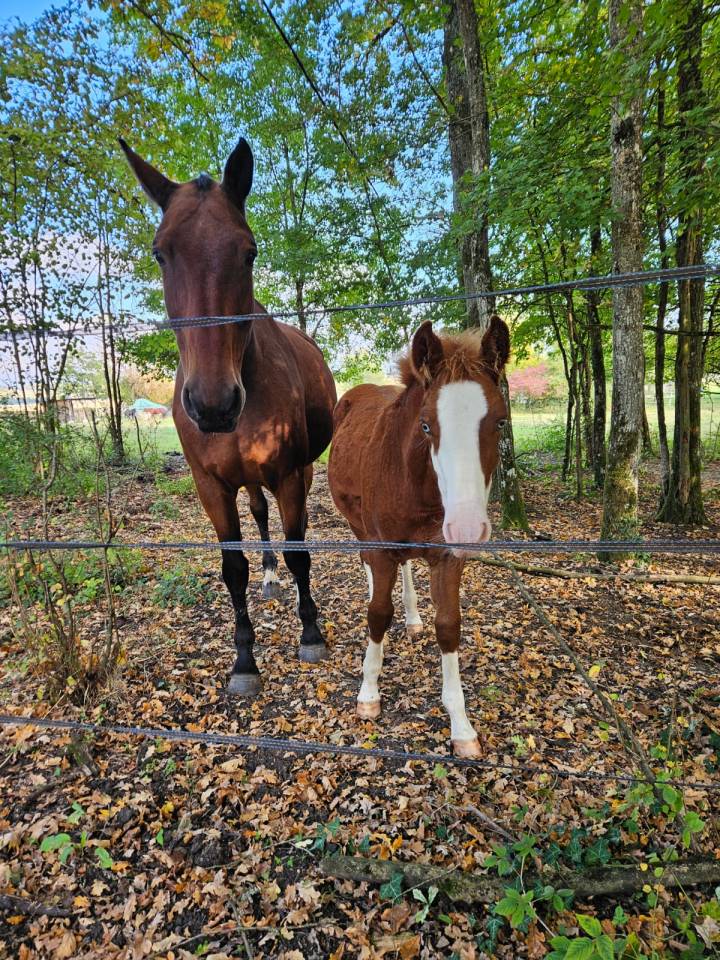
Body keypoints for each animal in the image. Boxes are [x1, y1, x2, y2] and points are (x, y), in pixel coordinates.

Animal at [120, 137, 337, 695]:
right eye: (160, 253)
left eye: (249, 251)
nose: (213, 404)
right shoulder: (211, 486)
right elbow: (232, 567)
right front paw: (244, 660)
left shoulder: (289, 474)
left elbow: (299, 549)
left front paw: (310, 633)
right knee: (258, 517)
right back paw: (269, 578)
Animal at [327, 316, 510, 757]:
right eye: (427, 424)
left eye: (500, 422)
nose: (468, 527)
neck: (414, 481)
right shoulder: (380, 544)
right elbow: (378, 613)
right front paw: (368, 692)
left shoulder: (446, 556)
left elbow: (449, 625)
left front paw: (462, 726)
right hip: (358, 525)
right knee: (369, 565)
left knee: (406, 567)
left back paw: (411, 617)